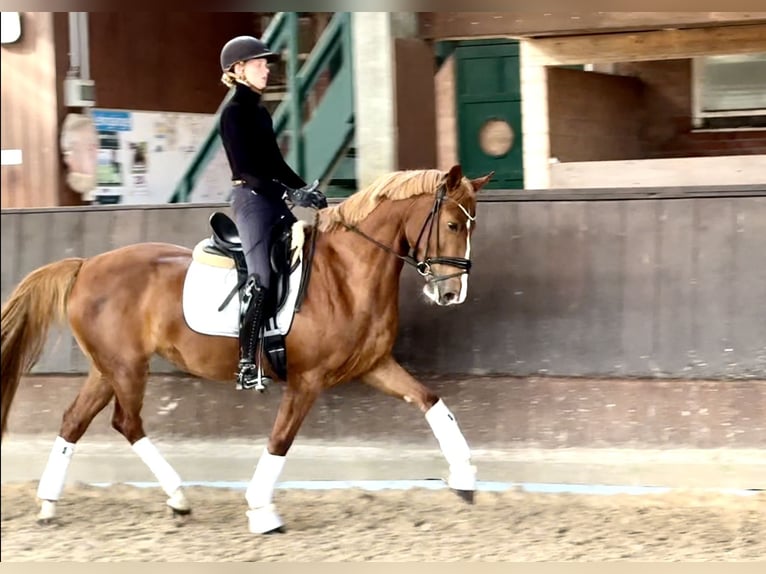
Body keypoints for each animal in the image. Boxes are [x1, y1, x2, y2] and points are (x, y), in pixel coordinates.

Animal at [0, 164, 492, 536]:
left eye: (472, 225)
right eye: (451, 224)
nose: (453, 294)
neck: (345, 272)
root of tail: (85, 265)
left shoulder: (373, 365)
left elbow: (431, 401)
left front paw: (466, 477)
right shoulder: (307, 380)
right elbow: (280, 440)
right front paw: (261, 510)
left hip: (108, 368)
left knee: (75, 421)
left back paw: (51, 504)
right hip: (125, 368)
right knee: (127, 422)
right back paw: (178, 496)